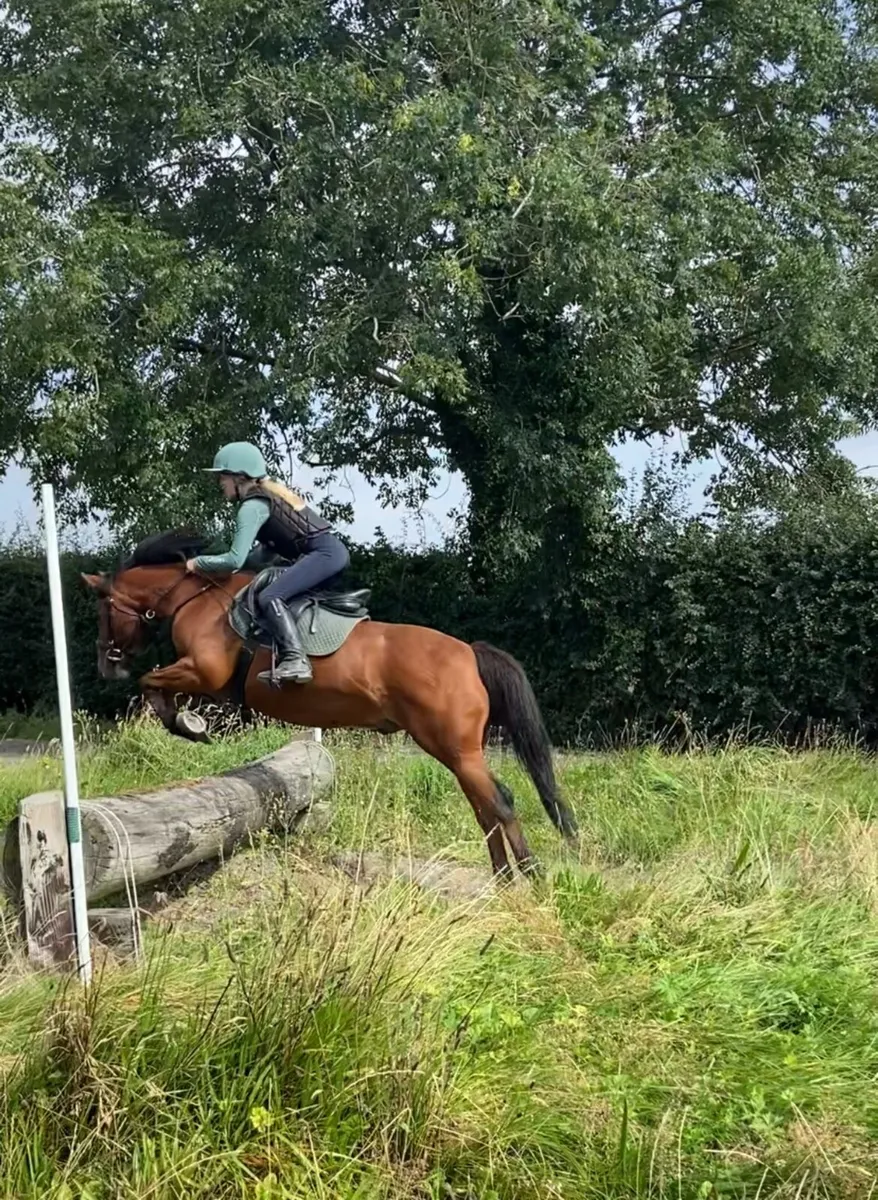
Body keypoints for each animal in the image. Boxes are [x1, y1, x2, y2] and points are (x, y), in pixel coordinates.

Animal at [81, 530, 578, 878]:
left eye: (101, 610)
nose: (106, 665)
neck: (197, 598)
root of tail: (468, 653)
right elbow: (159, 686)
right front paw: (191, 723)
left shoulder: (205, 671)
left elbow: (151, 683)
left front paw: (186, 724)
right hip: (455, 751)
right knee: (485, 807)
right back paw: (503, 879)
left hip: (455, 748)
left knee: (500, 803)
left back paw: (530, 875)